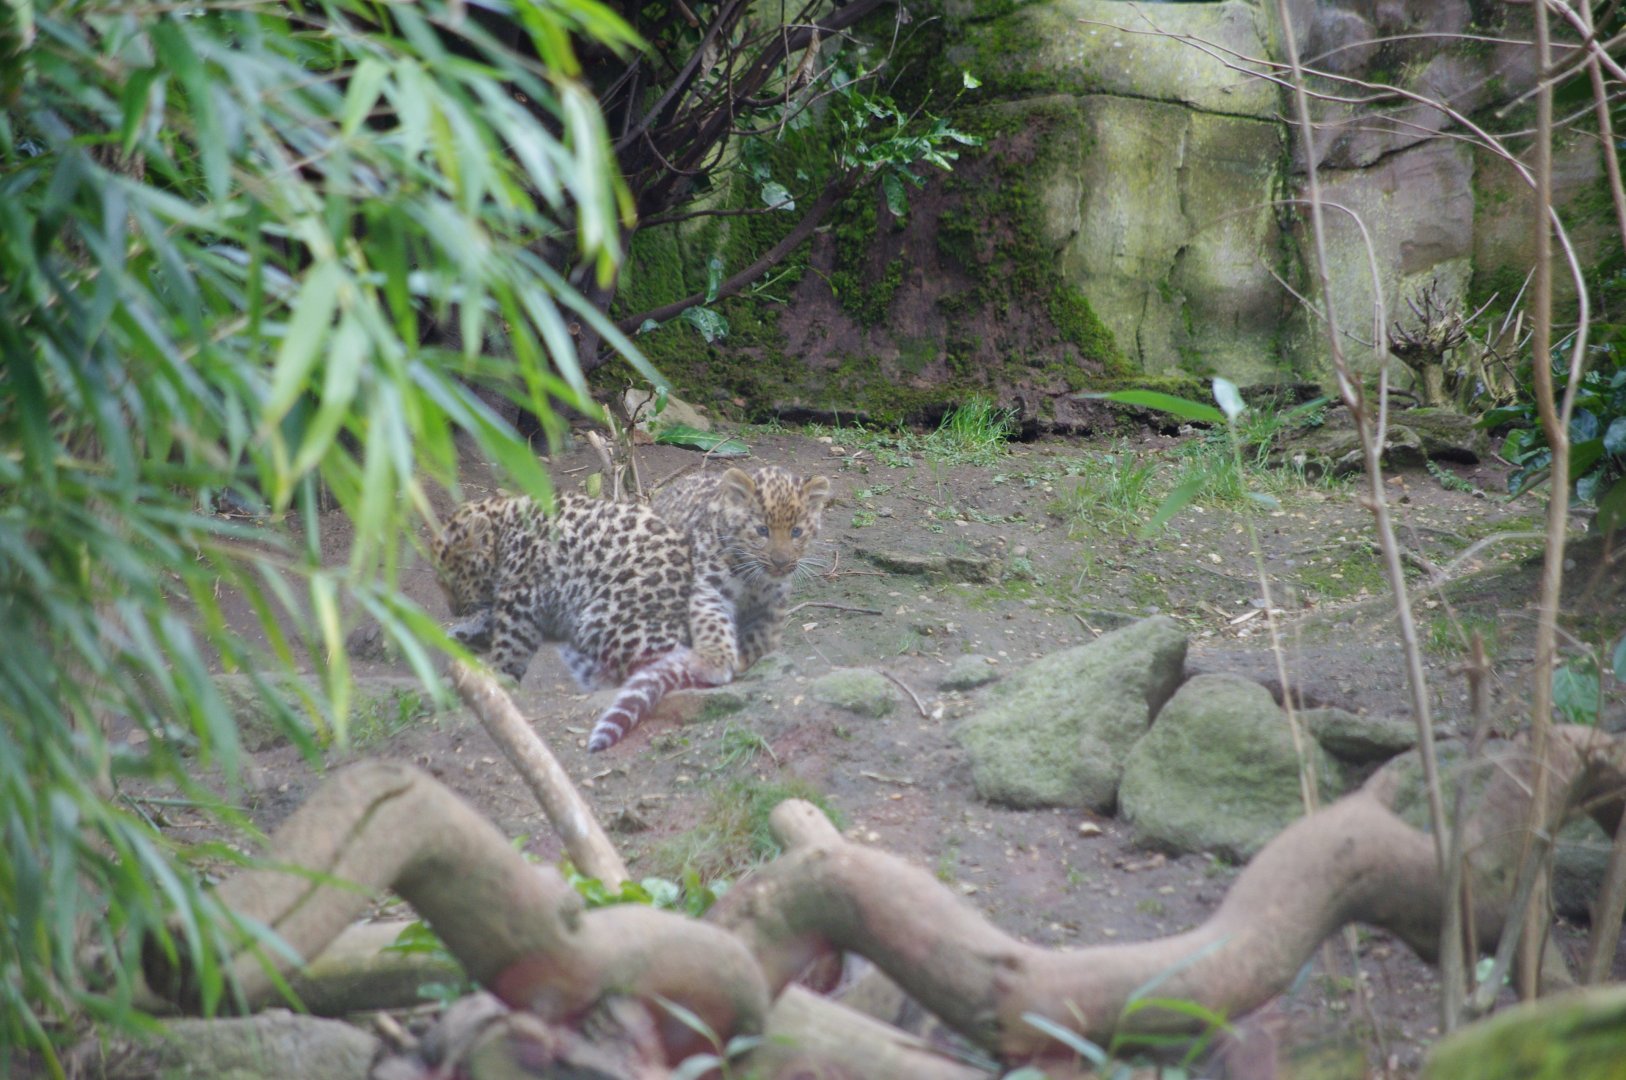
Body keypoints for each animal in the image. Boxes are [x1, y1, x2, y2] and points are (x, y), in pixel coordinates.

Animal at [431, 493, 739, 752]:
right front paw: (461, 637)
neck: (503, 530)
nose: (454, 610)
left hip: (606, 619)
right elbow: (490, 622)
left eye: (451, 579)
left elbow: (510, 642)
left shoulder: (522, 595)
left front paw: (497, 677)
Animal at [651, 465, 831, 674]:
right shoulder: (712, 586)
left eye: (796, 531)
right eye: (762, 530)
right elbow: (713, 623)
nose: (780, 562)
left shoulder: (772, 600)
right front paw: (715, 660)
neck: (751, 579)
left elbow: (760, 636)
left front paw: (745, 659)